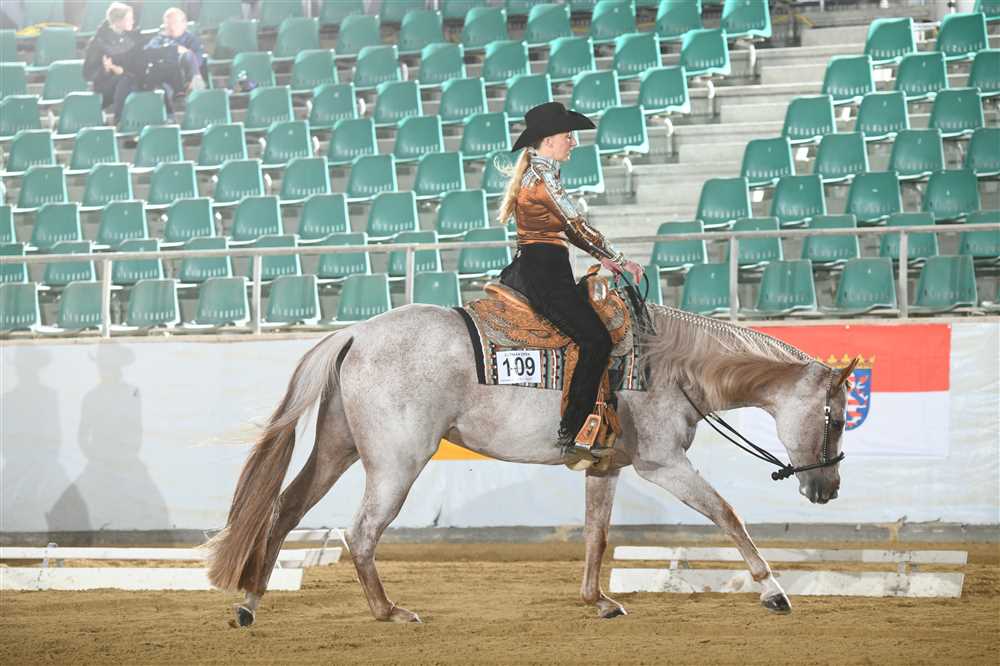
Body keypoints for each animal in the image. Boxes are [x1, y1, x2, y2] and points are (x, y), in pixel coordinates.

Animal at [205, 301, 854, 625]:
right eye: (836, 418)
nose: (828, 488)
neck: (668, 364)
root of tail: (357, 334)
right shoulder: (661, 464)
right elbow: (727, 514)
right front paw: (773, 591)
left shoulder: (605, 467)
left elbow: (596, 535)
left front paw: (598, 601)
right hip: (395, 463)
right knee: (359, 534)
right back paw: (389, 612)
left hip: (337, 448)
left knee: (284, 511)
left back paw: (250, 602)